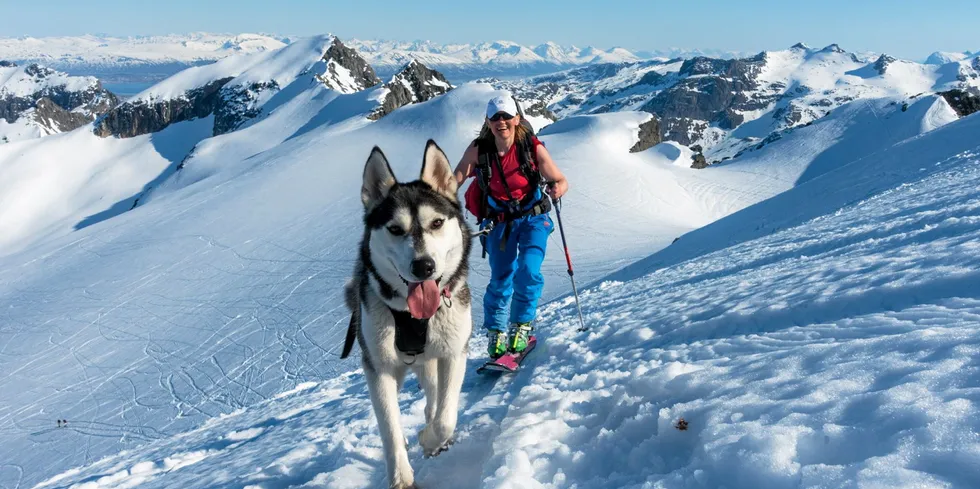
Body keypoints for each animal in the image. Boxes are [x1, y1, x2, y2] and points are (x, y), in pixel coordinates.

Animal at [340, 139, 470, 486]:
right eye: (395, 229)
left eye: (436, 223)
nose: (423, 266)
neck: (412, 318)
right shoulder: (379, 368)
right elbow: (390, 428)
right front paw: (401, 477)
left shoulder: (454, 353)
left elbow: (445, 417)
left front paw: (430, 439)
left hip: (433, 359)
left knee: (435, 401)